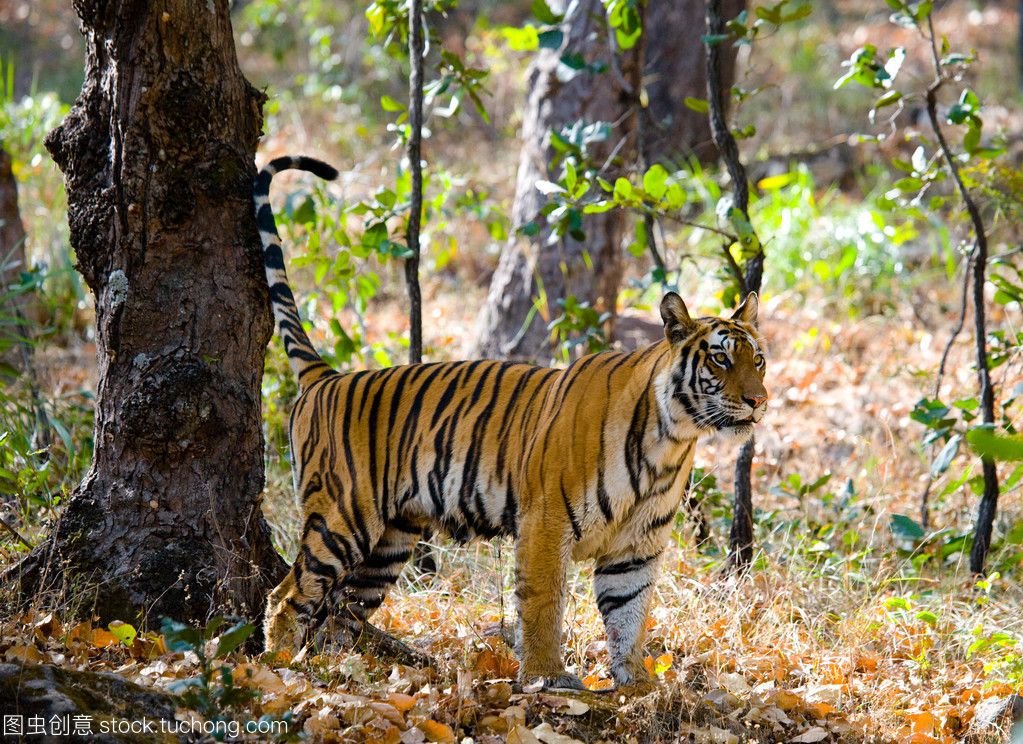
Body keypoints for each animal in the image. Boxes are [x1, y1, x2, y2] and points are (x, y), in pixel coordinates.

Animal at [253, 154, 769, 687]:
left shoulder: (636, 547)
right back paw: (277, 668)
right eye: (720, 360)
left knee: (341, 610)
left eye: (758, 360)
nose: (758, 399)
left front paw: (637, 682)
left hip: (388, 544)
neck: (672, 438)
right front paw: (547, 677)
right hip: (343, 517)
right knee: (288, 595)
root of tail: (327, 378)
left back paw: (342, 672)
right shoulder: (545, 522)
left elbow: (629, 614)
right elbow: (544, 604)